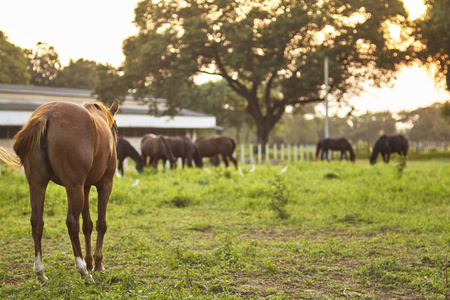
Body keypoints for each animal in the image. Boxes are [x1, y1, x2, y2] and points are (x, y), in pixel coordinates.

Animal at [0, 99, 118, 284]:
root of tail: (47, 114)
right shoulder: (105, 184)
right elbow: (100, 224)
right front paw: (97, 264)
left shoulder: (85, 186)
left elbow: (88, 225)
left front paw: (90, 262)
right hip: (74, 187)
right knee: (71, 222)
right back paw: (83, 271)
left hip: (38, 185)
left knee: (37, 222)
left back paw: (40, 273)